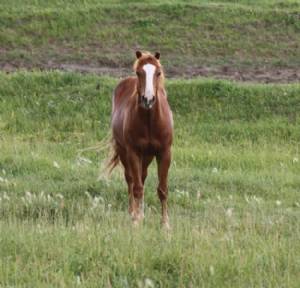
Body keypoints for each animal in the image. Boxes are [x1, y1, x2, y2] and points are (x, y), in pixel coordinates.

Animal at [109, 50, 172, 228]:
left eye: (158, 73)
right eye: (139, 72)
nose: (148, 99)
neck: (150, 121)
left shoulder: (164, 153)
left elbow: (162, 189)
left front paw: (165, 224)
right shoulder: (133, 153)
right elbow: (136, 187)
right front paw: (136, 221)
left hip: (148, 156)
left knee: (142, 177)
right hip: (124, 152)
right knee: (131, 180)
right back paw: (133, 212)